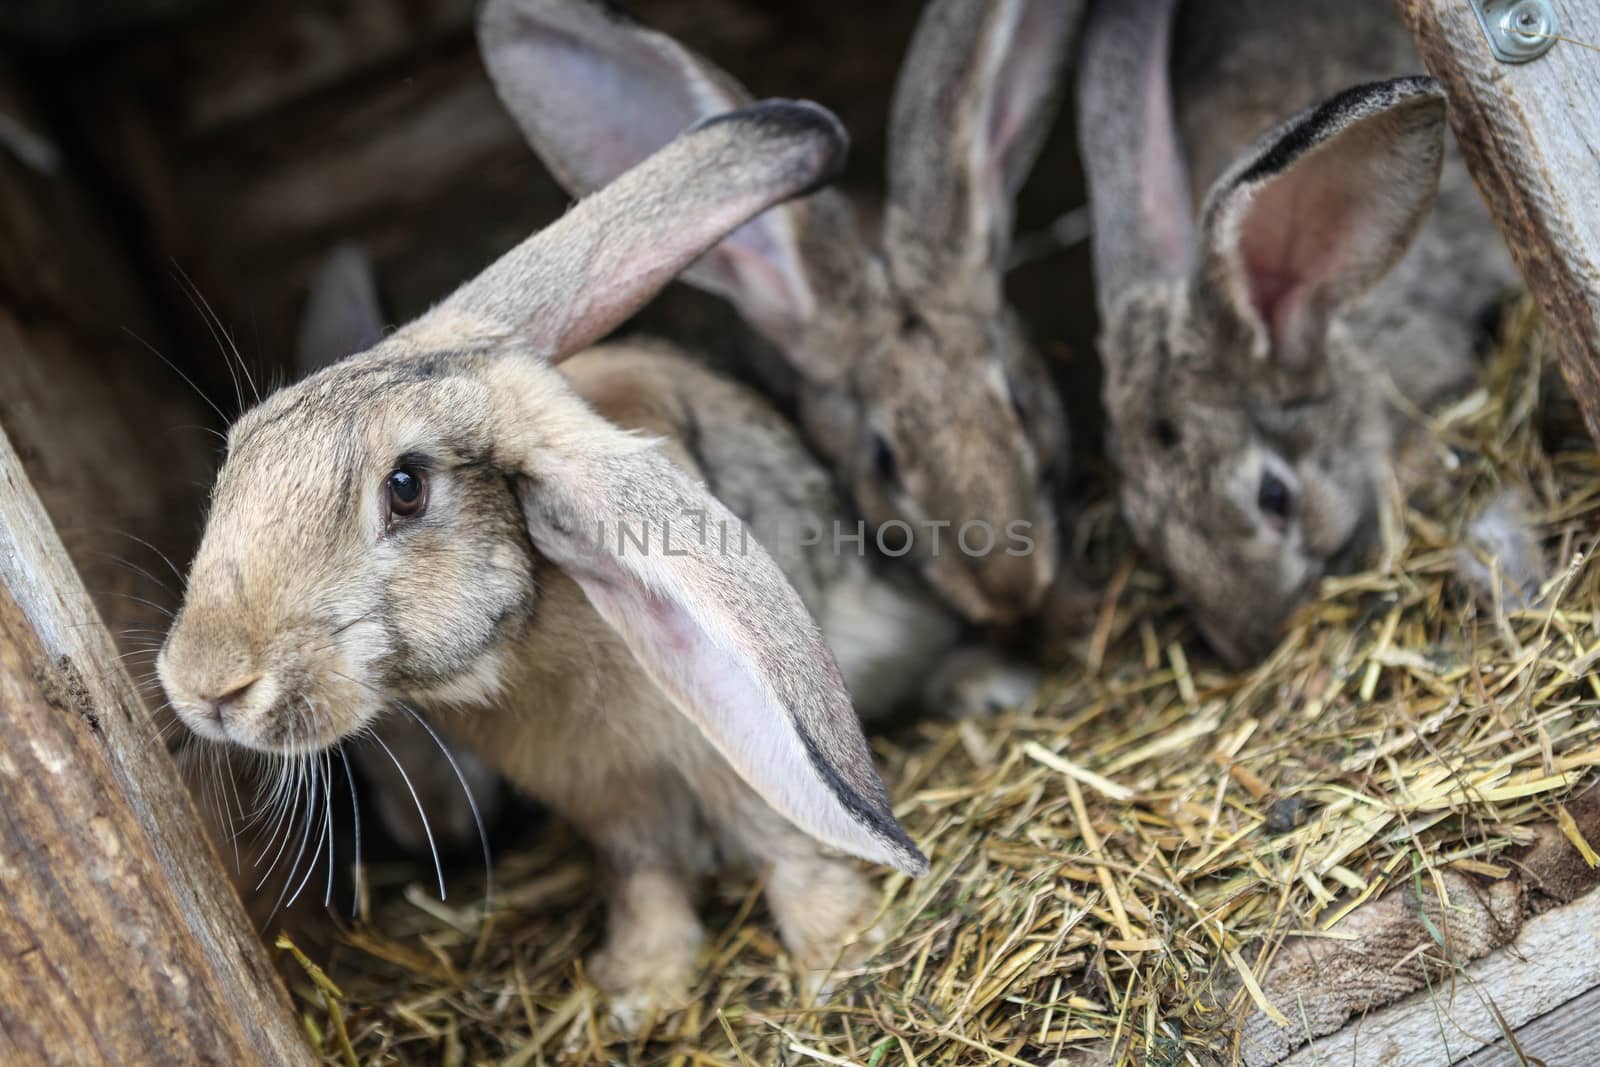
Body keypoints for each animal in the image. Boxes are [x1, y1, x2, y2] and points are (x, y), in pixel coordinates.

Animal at [156, 99, 934, 1023]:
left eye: (406, 488)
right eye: (240, 450)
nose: (204, 684)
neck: (517, 657)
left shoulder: (724, 751)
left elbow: (782, 839)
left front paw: (840, 946)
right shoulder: (611, 802)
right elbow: (643, 872)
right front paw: (640, 986)